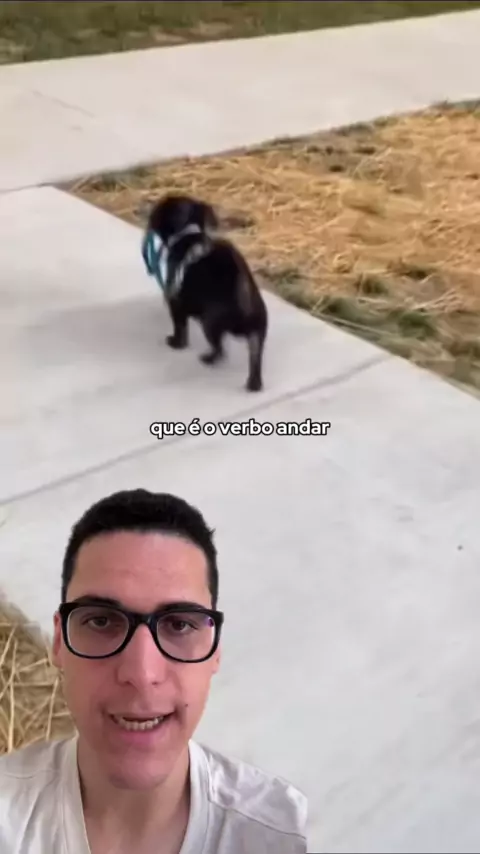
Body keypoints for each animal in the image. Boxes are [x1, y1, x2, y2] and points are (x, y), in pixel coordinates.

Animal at [141, 193, 268, 392]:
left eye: (159, 210)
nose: (149, 209)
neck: (188, 232)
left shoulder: (176, 301)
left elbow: (180, 328)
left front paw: (176, 343)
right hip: (258, 333)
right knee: (255, 359)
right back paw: (253, 384)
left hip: (209, 322)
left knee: (220, 350)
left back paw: (208, 359)